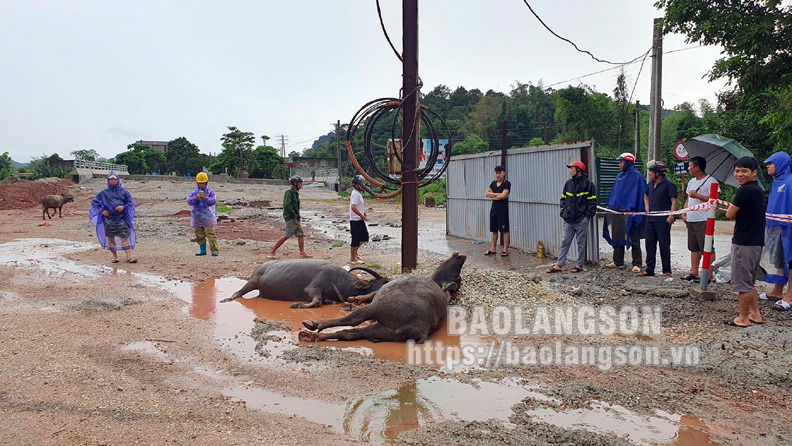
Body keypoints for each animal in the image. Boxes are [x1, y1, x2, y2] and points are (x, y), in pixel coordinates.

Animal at [221, 260, 388, 308]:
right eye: (384, 282)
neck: (340, 282)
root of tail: (260, 267)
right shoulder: (312, 289)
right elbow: (316, 301)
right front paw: (298, 305)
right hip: (253, 282)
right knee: (239, 292)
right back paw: (229, 298)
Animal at [300, 253, 468, 344]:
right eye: (456, 276)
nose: (460, 257)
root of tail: (421, 329)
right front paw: (354, 300)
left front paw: (353, 300)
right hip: (380, 331)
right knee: (348, 334)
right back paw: (310, 335)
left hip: (376, 309)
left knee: (352, 320)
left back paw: (313, 325)